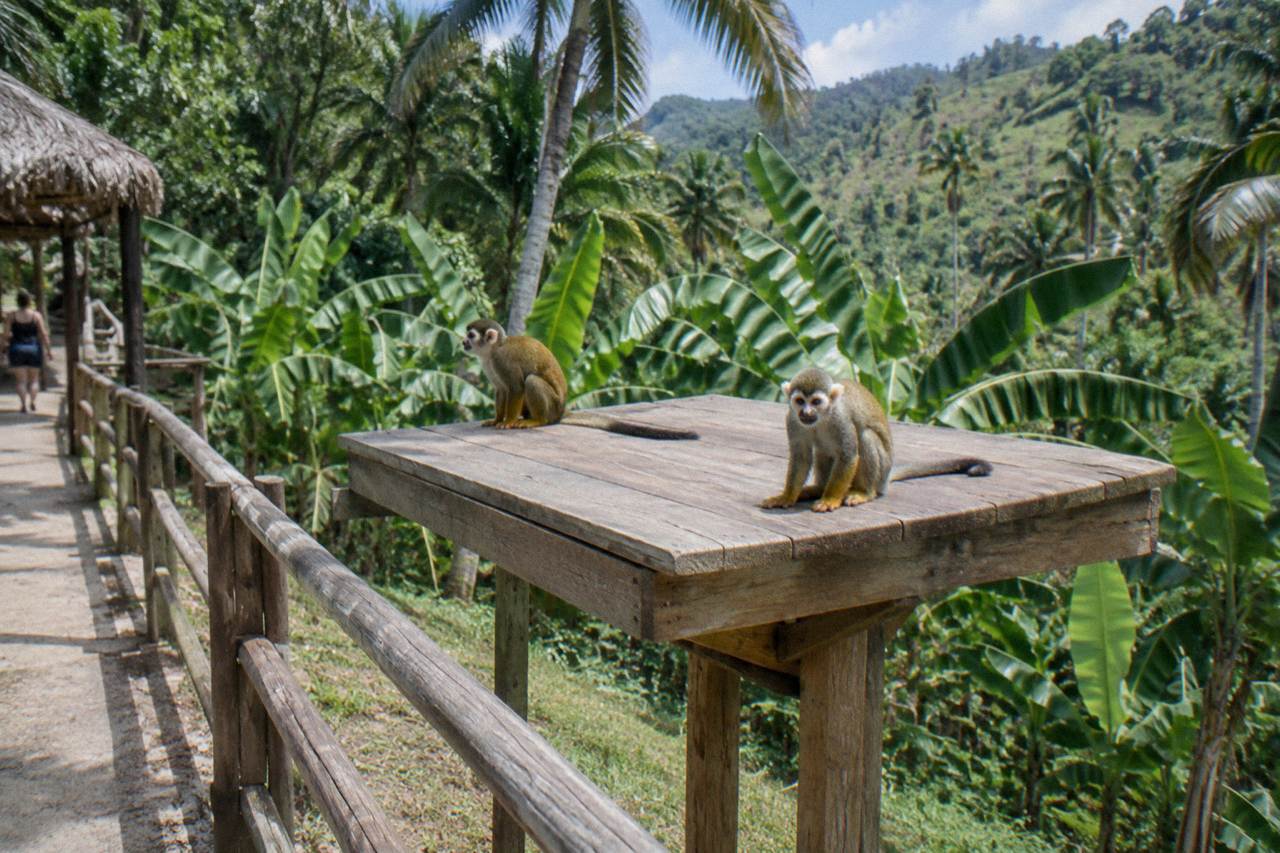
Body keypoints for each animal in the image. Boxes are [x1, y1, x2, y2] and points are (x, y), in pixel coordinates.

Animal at [461, 319, 698, 440]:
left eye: (471, 335)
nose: (463, 341)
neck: (492, 351)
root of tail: (561, 410)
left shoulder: (502, 360)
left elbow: (516, 387)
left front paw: (507, 421)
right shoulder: (490, 364)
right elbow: (502, 390)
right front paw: (496, 419)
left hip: (552, 405)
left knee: (531, 381)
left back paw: (537, 420)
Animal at [761, 367, 990, 512]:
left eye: (816, 402)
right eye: (800, 401)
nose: (807, 412)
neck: (822, 418)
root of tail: (885, 479)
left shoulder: (841, 419)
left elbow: (848, 455)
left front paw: (830, 499)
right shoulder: (792, 419)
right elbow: (801, 457)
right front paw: (786, 496)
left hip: (881, 468)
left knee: (865, 437)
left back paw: (864, 492)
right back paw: (817, 489)